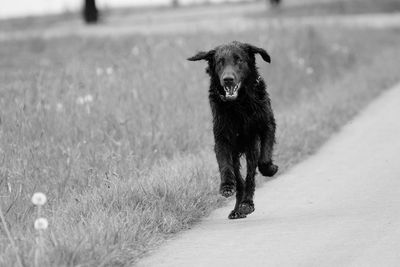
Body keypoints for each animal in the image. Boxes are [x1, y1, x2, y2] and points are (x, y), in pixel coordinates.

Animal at [188, 40, 278, 220]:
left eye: (239, 60)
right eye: (220, 61)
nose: (228, 79)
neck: (238, 104)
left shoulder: (266, 126)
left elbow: (263, 161)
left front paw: (271, 169)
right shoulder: (222, 138)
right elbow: (225, 165)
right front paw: (227, 186)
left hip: (251, 147)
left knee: (250, 176)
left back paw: (246, 204)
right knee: (240, 178)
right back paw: (238, 208)